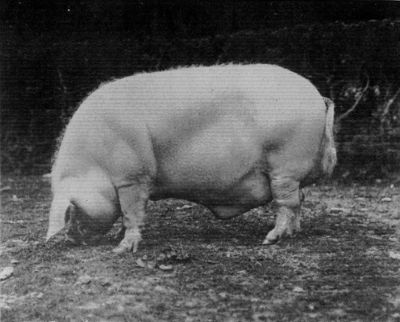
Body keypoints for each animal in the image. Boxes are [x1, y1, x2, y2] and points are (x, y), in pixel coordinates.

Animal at [45, 64, 336, 253]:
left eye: (71, 209)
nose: (70, 239)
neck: (94, 165)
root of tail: (316, 96)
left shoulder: (132, 176)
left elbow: (131, 211)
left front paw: (121, 249)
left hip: (285, 162)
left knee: (287, 203)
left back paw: (271, 239)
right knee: (300, 198)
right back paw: (292, 234)